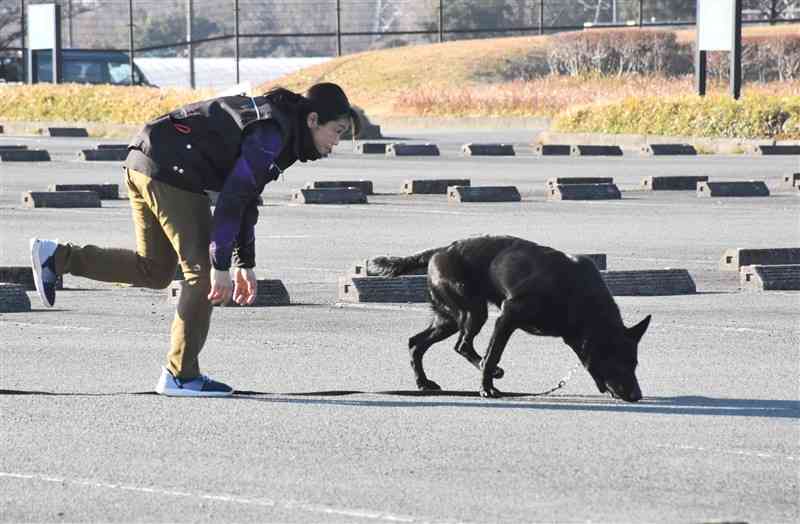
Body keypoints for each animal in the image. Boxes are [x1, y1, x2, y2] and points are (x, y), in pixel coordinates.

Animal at [372, 234, 652, 402]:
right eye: (618, 361)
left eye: (635, 363)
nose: (637, 395)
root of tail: (440, 250)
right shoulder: (507, 317)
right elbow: (493, 354)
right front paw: (486, 387)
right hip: (473, 312)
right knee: (463, 345)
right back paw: (489, 376)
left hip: (449, 320)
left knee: (416, 343)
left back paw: (423, 382)